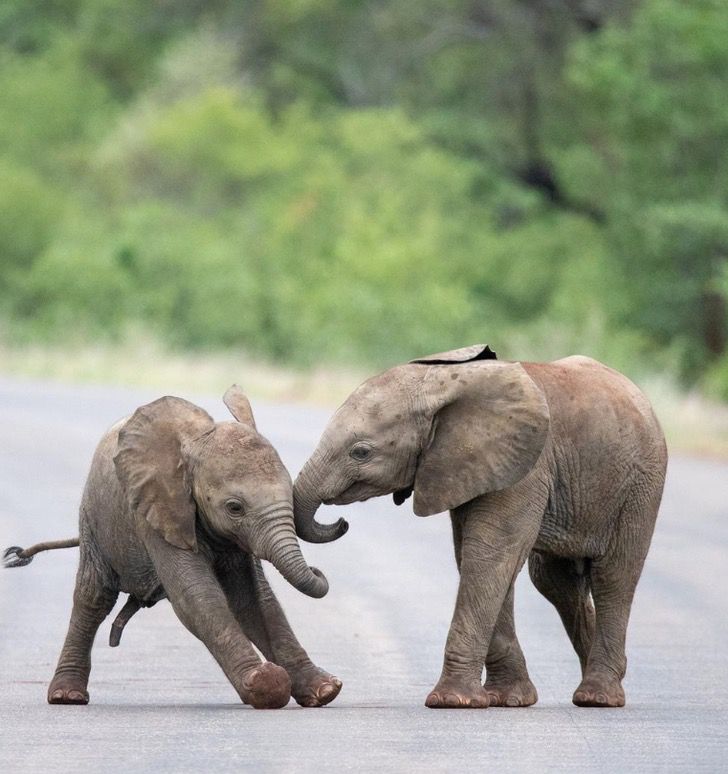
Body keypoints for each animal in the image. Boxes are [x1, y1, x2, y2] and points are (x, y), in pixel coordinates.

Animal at [4, 386, 342, 708]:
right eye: (235, 508)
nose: (318, 570)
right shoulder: (156, 511)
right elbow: (197, 595)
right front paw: (266, 685)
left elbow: (253, 599)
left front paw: (325, 690)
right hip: (94, 519)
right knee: (94, 597)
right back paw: (67, 696)